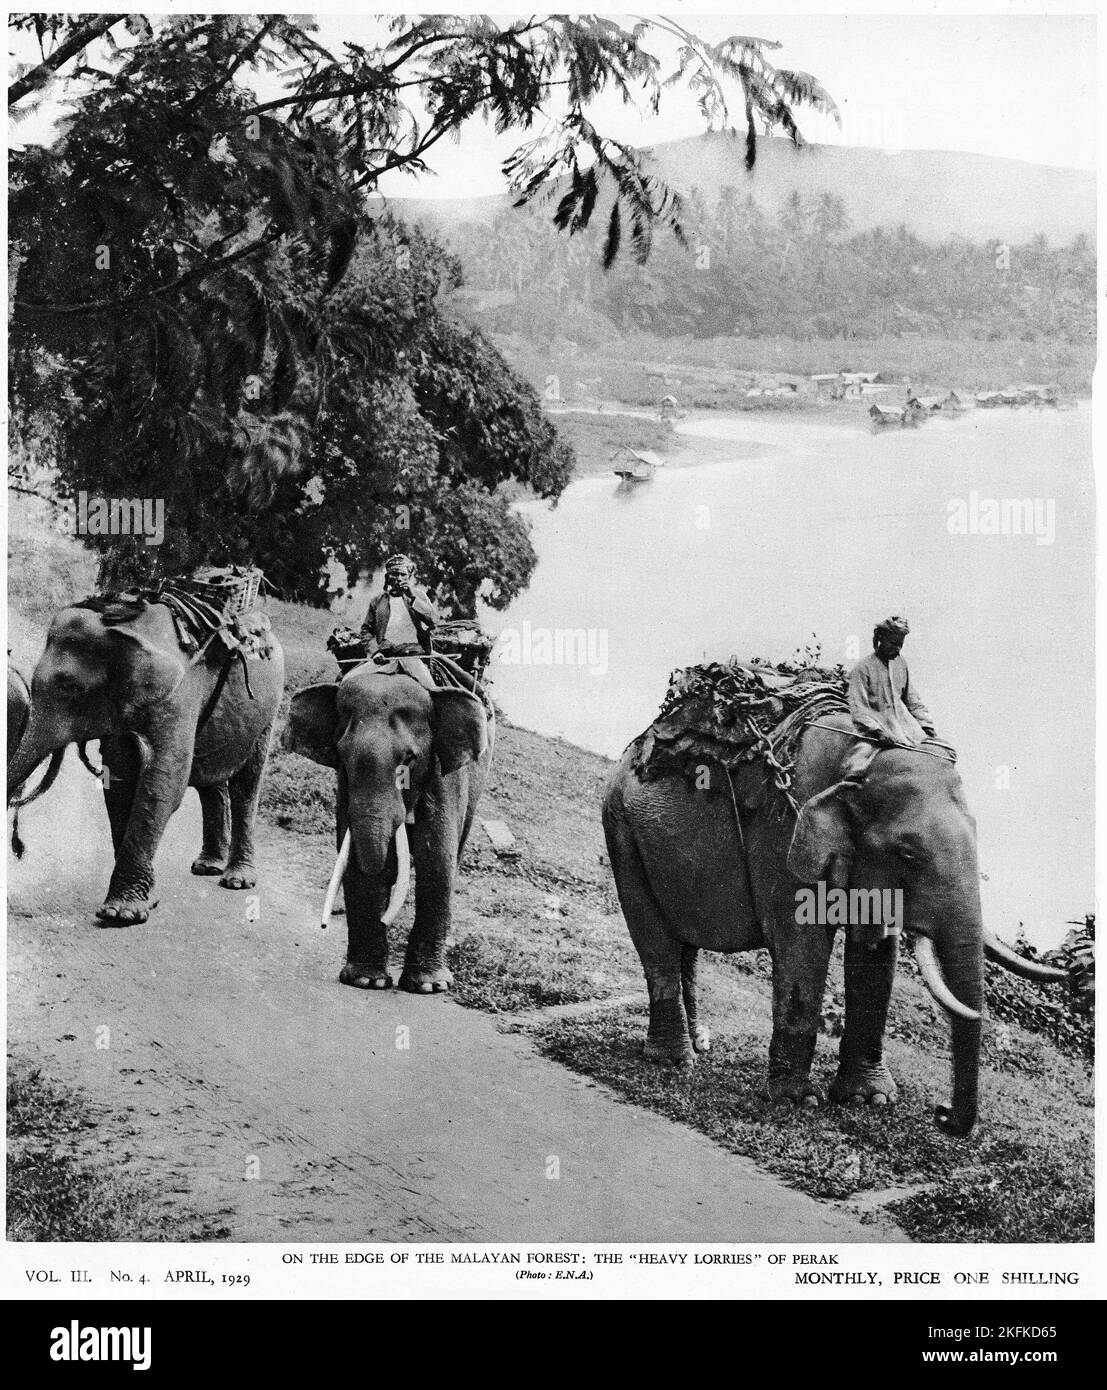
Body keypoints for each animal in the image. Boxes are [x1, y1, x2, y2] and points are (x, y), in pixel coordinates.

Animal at [6, 597, 283, 922]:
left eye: (70, 688)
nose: (19, 848)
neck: (122, 624)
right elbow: (120, 781)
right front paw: (147, 900)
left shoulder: (178, 696)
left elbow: (162, 784)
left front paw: (121, 914)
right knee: (210, 781)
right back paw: (207, 867)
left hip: (267, 710)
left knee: (246, 785)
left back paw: (237, 880)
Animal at [285, 658, 492, 989]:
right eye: (341, 756)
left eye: (409, 758)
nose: (324, 925)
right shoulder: (345, 787)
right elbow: (356, 859)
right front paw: (367, 981)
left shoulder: (443, 774)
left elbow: (436, 860)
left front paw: (428, 986)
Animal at [600, 711, 1068, 1134]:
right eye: (908, 854)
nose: (941, 1113)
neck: (861, 757)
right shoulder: (783, 835)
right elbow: (802, 945)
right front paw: (797, 1102)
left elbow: (876, 954)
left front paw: (870, 1100)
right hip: (621, 831)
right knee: (655, 939)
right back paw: (675, 1060)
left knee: (686, 946)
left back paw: (700, 1042)